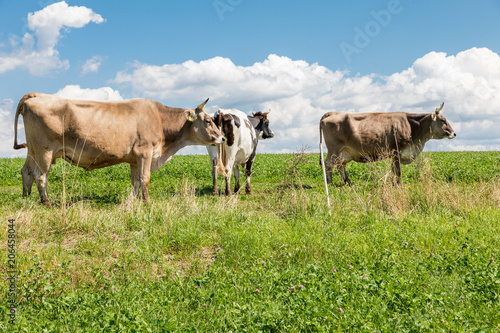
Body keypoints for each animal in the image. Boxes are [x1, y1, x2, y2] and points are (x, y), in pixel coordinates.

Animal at [13, 91, 225, 205]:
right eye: (208, 121)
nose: (222, 137)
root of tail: (37, 95)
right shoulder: (145, 152)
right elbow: (145, 179)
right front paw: (148, 202)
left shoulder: (134, 159)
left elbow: (136, 181)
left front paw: (136, 200)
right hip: (45, 150)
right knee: (41, 175)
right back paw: (47, 202)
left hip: (33, 150)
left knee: (26, 171)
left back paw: (26, 198)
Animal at [320, 102, 458, 185]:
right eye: (443, 120)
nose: (454, 133)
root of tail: (332, 112)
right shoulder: (397, 151)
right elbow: (398, 171)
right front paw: (399, 184)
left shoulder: (394, 154)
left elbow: (393, 170)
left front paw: (393, 183)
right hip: (333, 148)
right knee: (328, 164)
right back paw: (330, 183)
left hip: (343, 152)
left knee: (340, 165)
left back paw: (348, 182)